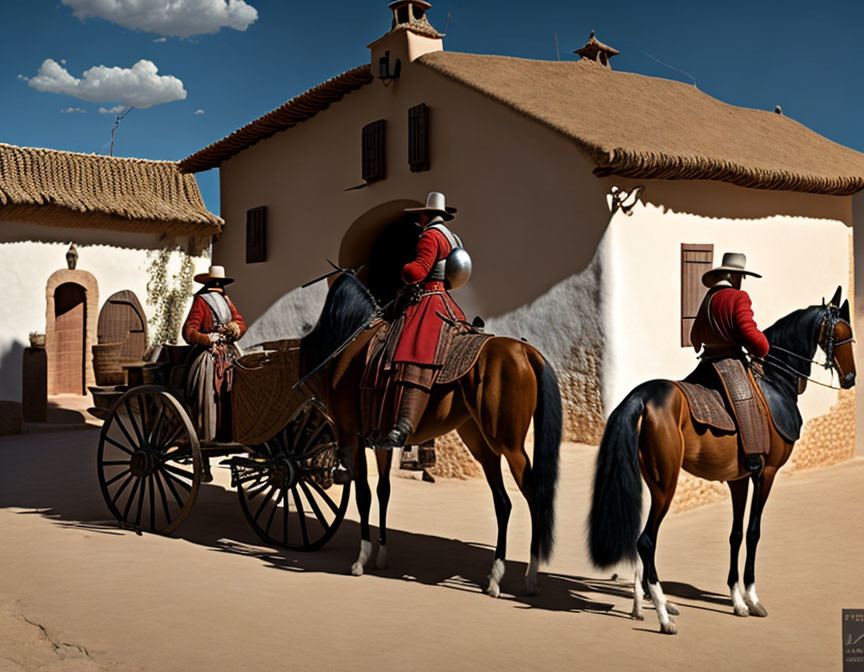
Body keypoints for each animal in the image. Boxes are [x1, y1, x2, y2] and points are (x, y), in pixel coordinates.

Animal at [300, 272, 564, 600]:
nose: (306, 348)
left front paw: (361, 559)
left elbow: (363, 494)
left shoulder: (353, 433)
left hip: (508, 445)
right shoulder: (380, 440)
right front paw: (381, 555)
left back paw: (529, 577)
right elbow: (383, 491)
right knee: (503, 503)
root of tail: (526, 351)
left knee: (532, 498)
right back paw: (495, 577)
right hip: (482, 444)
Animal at [588, 288, 856, 636]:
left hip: (651, 480)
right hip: (665, 484)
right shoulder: (767, 474)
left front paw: (737, 599)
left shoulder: (738, 479)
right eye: (842, 334)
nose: (851, 378)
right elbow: (753, 532)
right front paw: (752, 598)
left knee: (640, 539)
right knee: (646, 540)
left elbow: (735, 534)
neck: (774, 380)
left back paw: (640, 604)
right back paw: (663, 614)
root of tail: (641, 397)